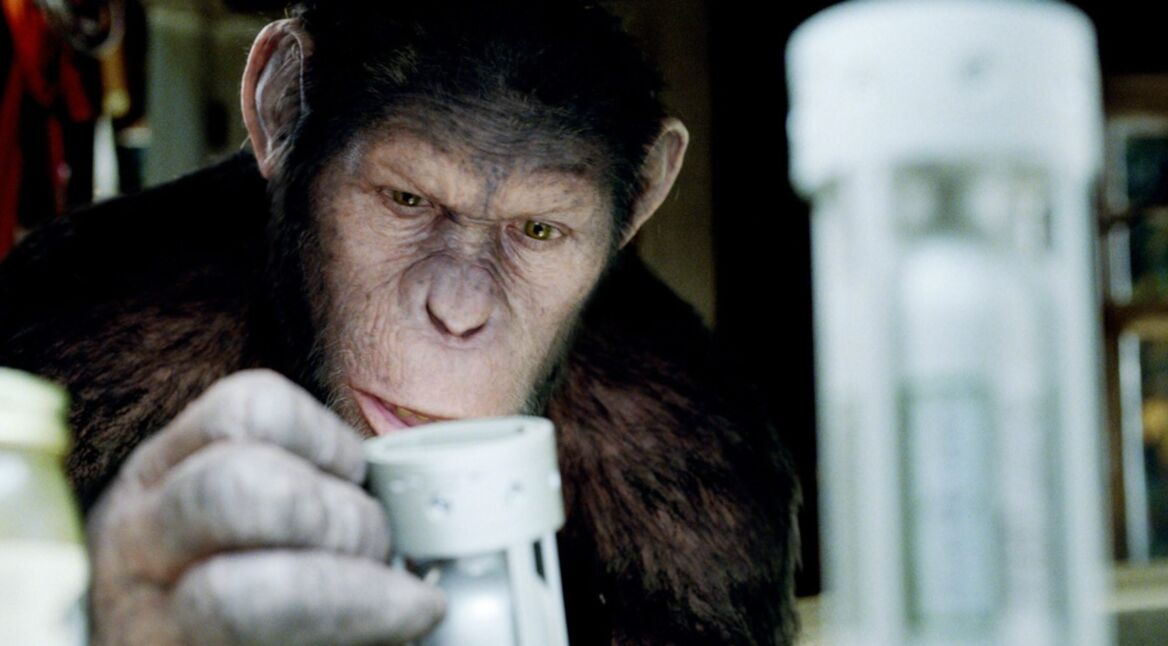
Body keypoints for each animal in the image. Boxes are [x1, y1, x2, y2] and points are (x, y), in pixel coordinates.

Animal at [0, 1, 801, 644]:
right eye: (406, 199)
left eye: (538, 230)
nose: (457, 317)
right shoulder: (82, 345)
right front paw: (166, 575)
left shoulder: (702, 486)